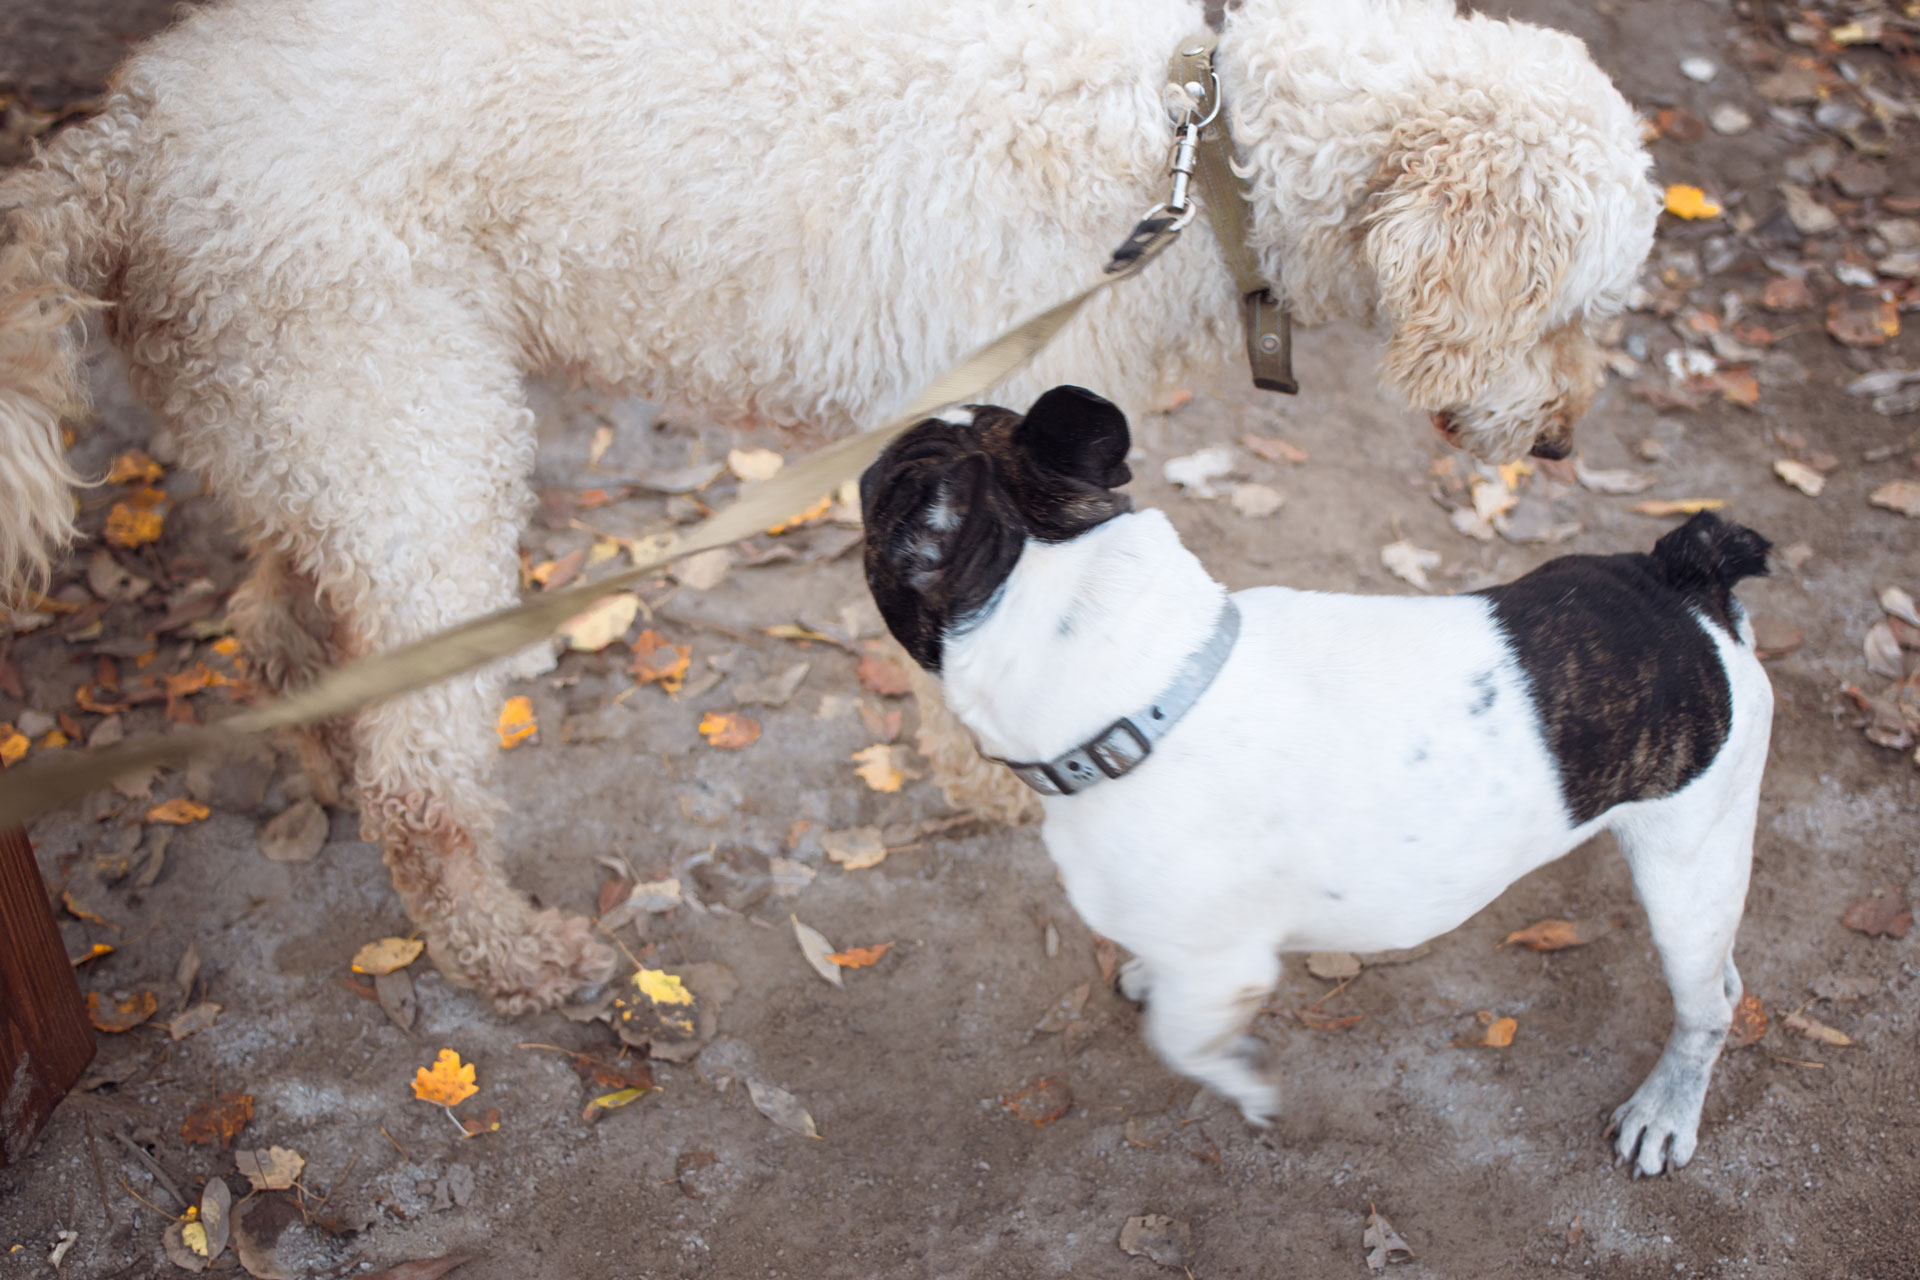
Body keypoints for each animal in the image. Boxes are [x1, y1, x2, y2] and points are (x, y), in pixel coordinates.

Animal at [0, 0, 1658, 1013]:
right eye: (1575, 310)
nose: (1565, 441)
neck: (1211, 141)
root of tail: (131, 129)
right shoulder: (1003, 427)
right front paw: (997, 784)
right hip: (416, 441)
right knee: (421, 770)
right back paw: (503, 949)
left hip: (320, 424)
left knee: (287, 613)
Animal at [864, 385, 1774, 1174]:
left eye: (874, 489)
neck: (1148, 688)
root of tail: (1684, 581)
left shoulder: (1225, 967)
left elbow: (1186, 1039)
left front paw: (1244, 1084)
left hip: (1688, 865)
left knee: (1708, 1004)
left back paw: (1664, 1111)